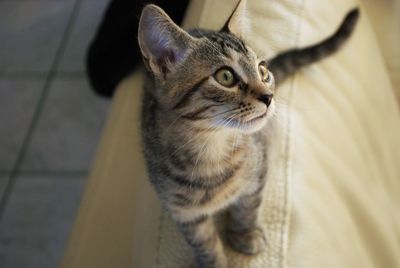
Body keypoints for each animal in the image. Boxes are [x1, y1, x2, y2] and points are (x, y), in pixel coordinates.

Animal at [138, 1, 360, 266]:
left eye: (263, 70)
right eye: (225, 76)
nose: (269, 96)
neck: (211, 149)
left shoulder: (259, 168)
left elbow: (248, 206)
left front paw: (246, 234)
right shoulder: (182, 211)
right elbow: (204, 242)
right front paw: (214, 261)